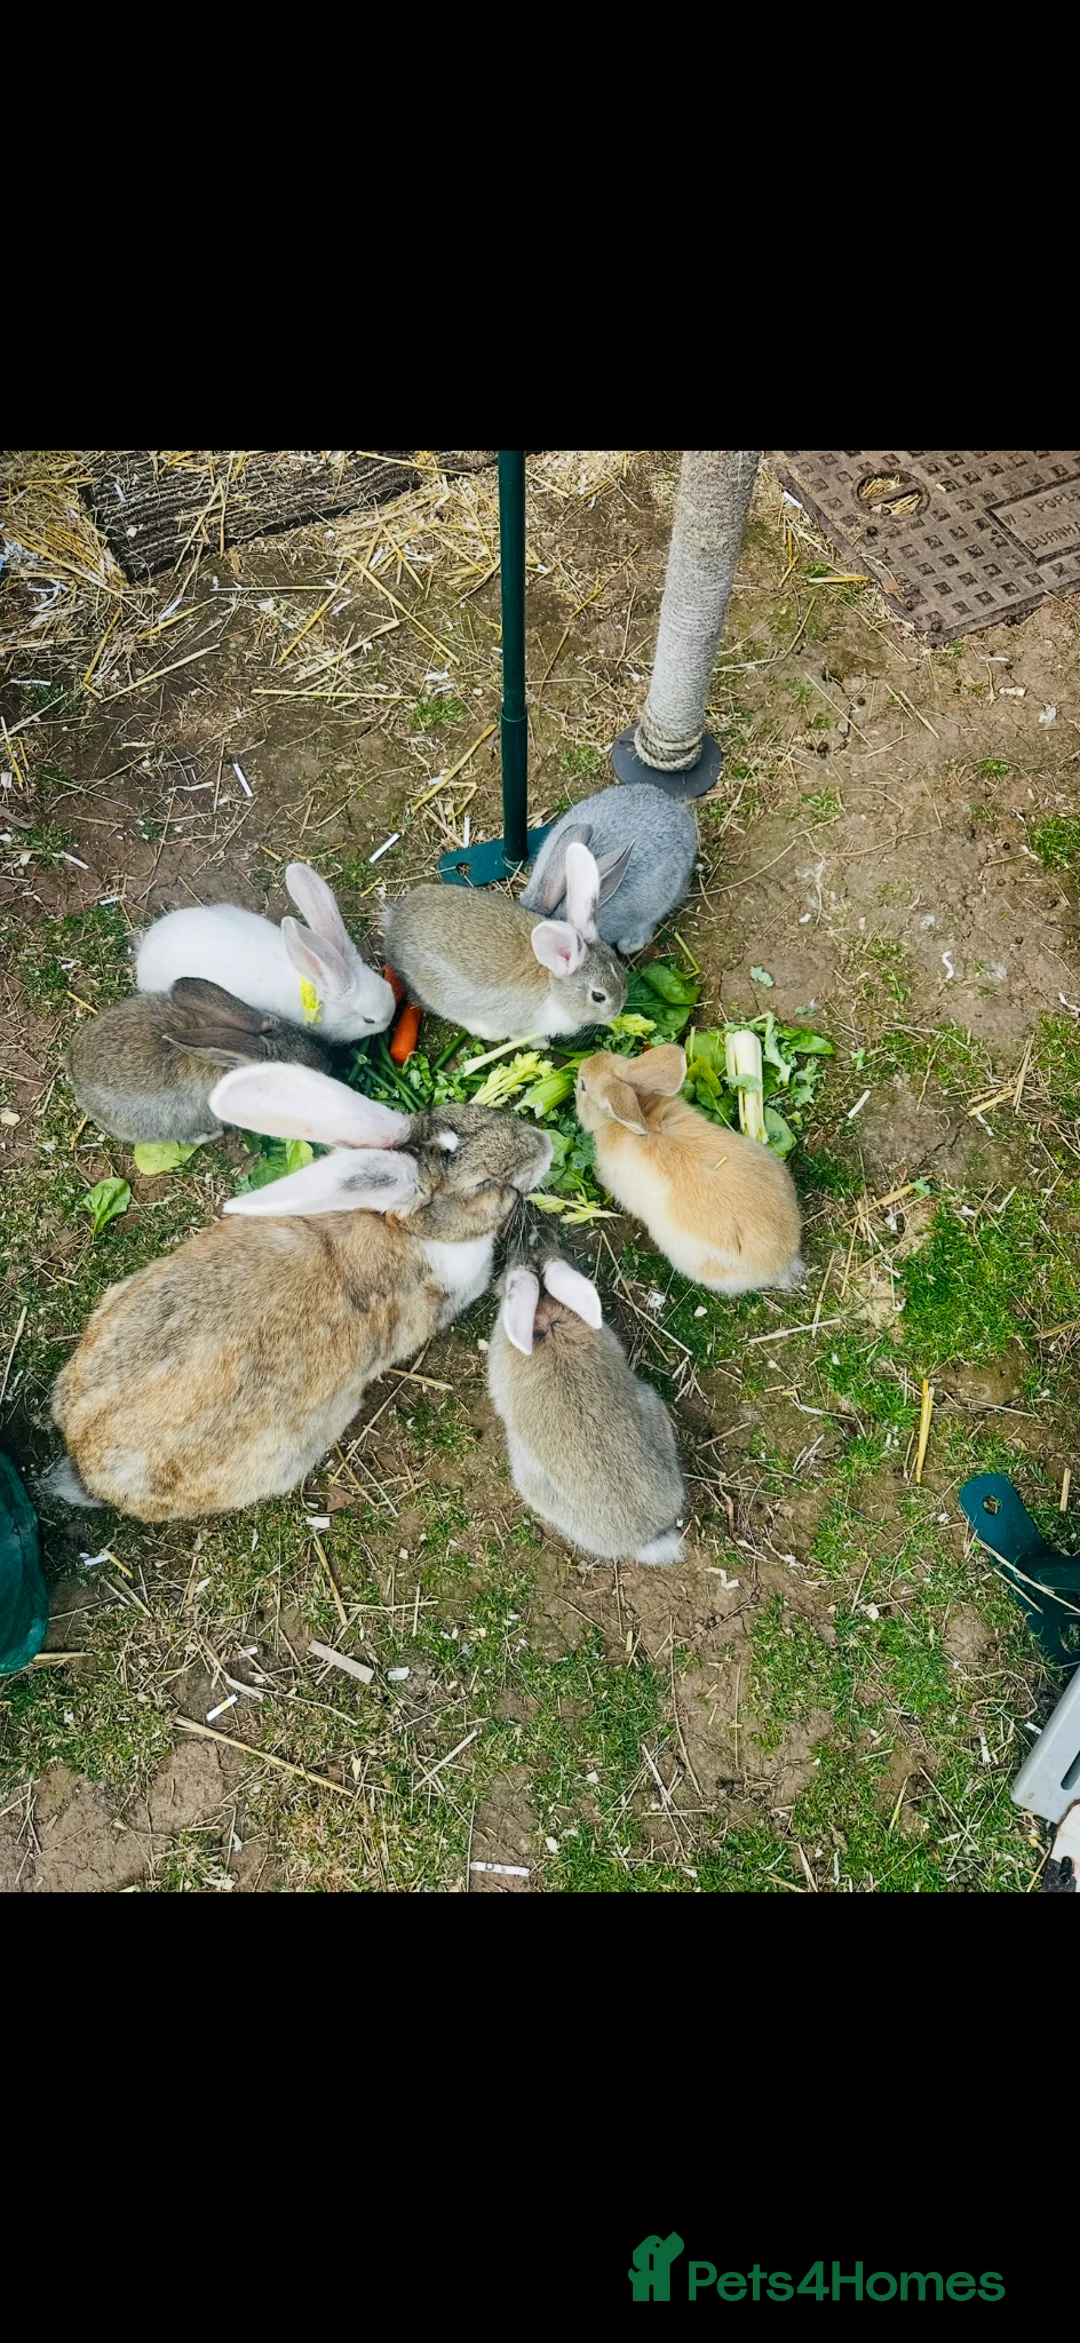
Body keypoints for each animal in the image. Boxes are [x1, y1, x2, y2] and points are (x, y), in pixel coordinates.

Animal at [382, 841, 626, 1042]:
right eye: (598, 996)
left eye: (621, 970)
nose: (618, 1011)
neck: (553, 985)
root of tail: (395, 924)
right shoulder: (521, 1027)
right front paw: (543, 1045)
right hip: (438, 992)